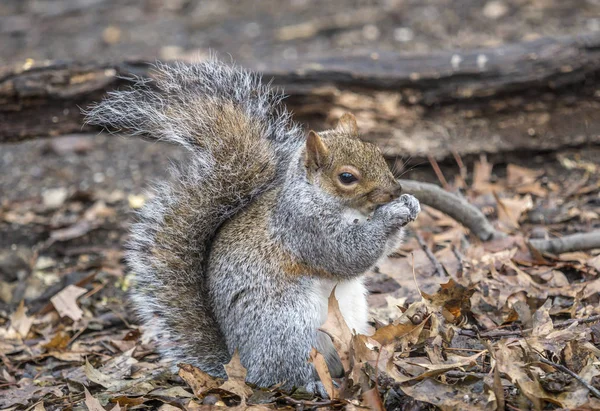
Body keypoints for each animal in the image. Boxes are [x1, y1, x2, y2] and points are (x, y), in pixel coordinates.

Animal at [85, 60, 422, 396]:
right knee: (285, 373)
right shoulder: (305, 228)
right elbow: (348, 253)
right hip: (289, 329)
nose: (395, 190)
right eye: (347, 177)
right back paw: (315, 384)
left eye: (377, 153)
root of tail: (240, 363)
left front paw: (411, 204)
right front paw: (391, 214)